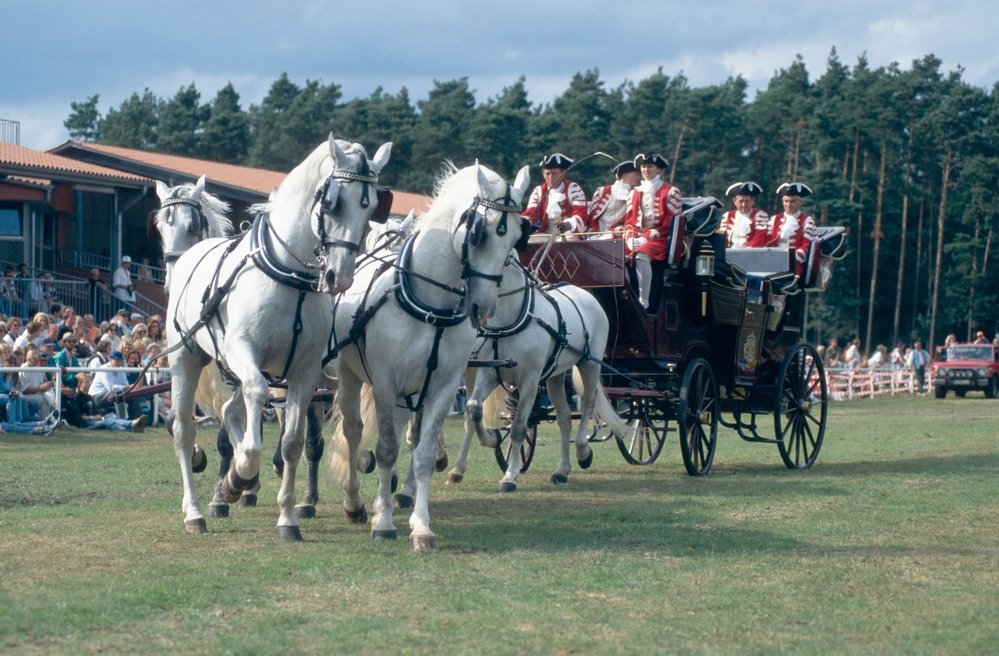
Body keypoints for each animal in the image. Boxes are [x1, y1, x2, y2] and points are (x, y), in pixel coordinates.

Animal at [168, 135, 390, 540]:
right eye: (333, 202)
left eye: (369, 208)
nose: (339, 276)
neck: (289, 275)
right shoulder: (243, 355)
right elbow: (253, 416)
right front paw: (240, 476)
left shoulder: (305, 371)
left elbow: (293, 443)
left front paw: (287, 517)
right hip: (186, 359)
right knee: (183, 429)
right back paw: (195, 511)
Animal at [328, 161, 532, 552]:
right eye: (479, 233)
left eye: (517, 236)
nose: (483, 308)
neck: (431, 304)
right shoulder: (385, 381)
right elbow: (386, 449)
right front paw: (385, 522)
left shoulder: (443, 385)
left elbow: (421, 453)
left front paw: (420, 525)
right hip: (351, 375)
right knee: (354, 431)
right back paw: (354, 503)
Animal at [450, 262, 628, 492]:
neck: (510, 319)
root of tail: (586, 295)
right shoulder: (488, 373)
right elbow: (473, 409)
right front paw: (491, 440)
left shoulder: (530, 380)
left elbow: (518, 426)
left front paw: (510, 476)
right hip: (555, 376)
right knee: (564, 418)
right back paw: (561, 470)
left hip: (589, 363)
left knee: (588, 403)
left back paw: (583, 452)